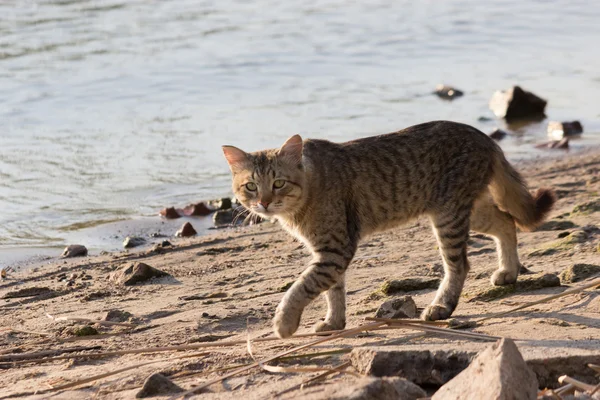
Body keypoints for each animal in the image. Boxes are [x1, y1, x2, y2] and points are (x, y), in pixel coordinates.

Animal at [220, 119, 552, 338]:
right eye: (251, 186)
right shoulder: (329, 252)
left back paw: (442, 306)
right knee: (506, 222)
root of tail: (483, 136)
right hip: (470, 210)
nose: (263, 202)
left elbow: (302, 287)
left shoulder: (335, 248)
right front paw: (334, 323)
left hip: (448, 216)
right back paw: (508, 271)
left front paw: (285, 323)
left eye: (278, 183)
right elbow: (332, 290)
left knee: (460, 265)